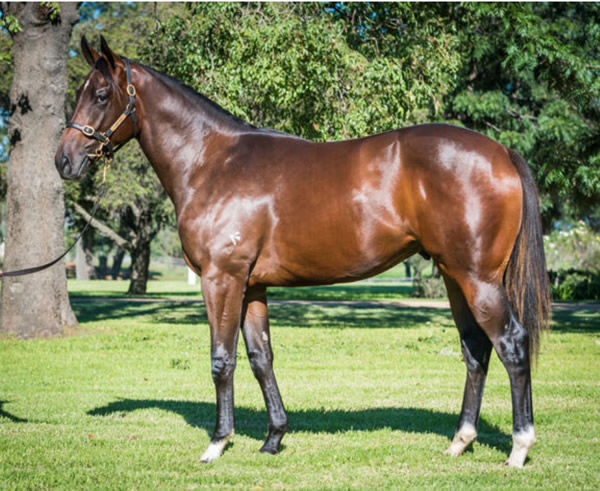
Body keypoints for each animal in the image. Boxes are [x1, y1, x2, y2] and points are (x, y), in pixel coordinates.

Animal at [54, 36, 552, 468]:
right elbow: (261, 358)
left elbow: (222, 360)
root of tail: (502, 152)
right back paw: (460, 441)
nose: (64, 160)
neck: (212, 161)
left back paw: (519, 448)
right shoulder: (252, 286)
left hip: (477, 279)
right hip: (453, 276)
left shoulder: (221, 279)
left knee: (511, 344)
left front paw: (218, 443)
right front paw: (274, 438)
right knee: (476, 350)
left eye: (101, 94)